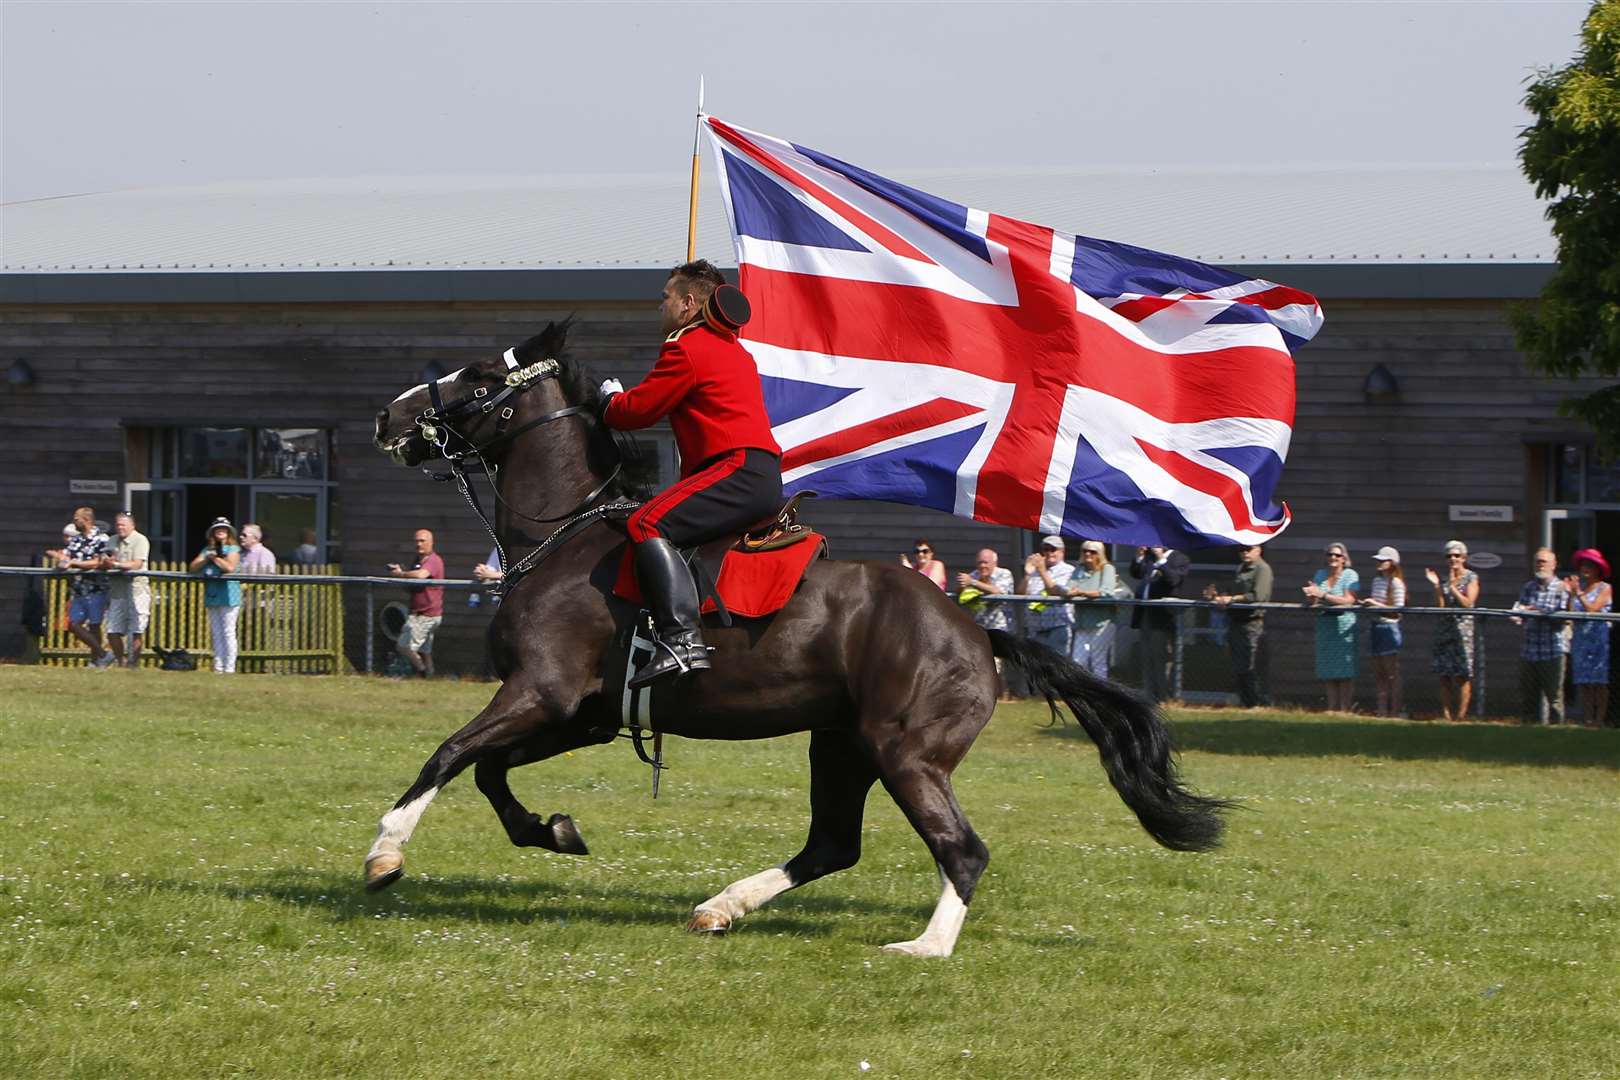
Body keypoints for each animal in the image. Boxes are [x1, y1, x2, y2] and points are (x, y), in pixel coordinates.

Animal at [367, 318, 1224, 952]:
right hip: (840, 745)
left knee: (961, 849)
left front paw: (385, 849)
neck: (565, 536)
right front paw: (553, 831)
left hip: (905, 754)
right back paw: (723, 907)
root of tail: (975, 629)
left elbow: (447, 754)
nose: (390, 416)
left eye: (481, 377)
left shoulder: (539, 693)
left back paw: (924, 946)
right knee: (833, 845)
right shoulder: (580, 716)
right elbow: (487, 772)